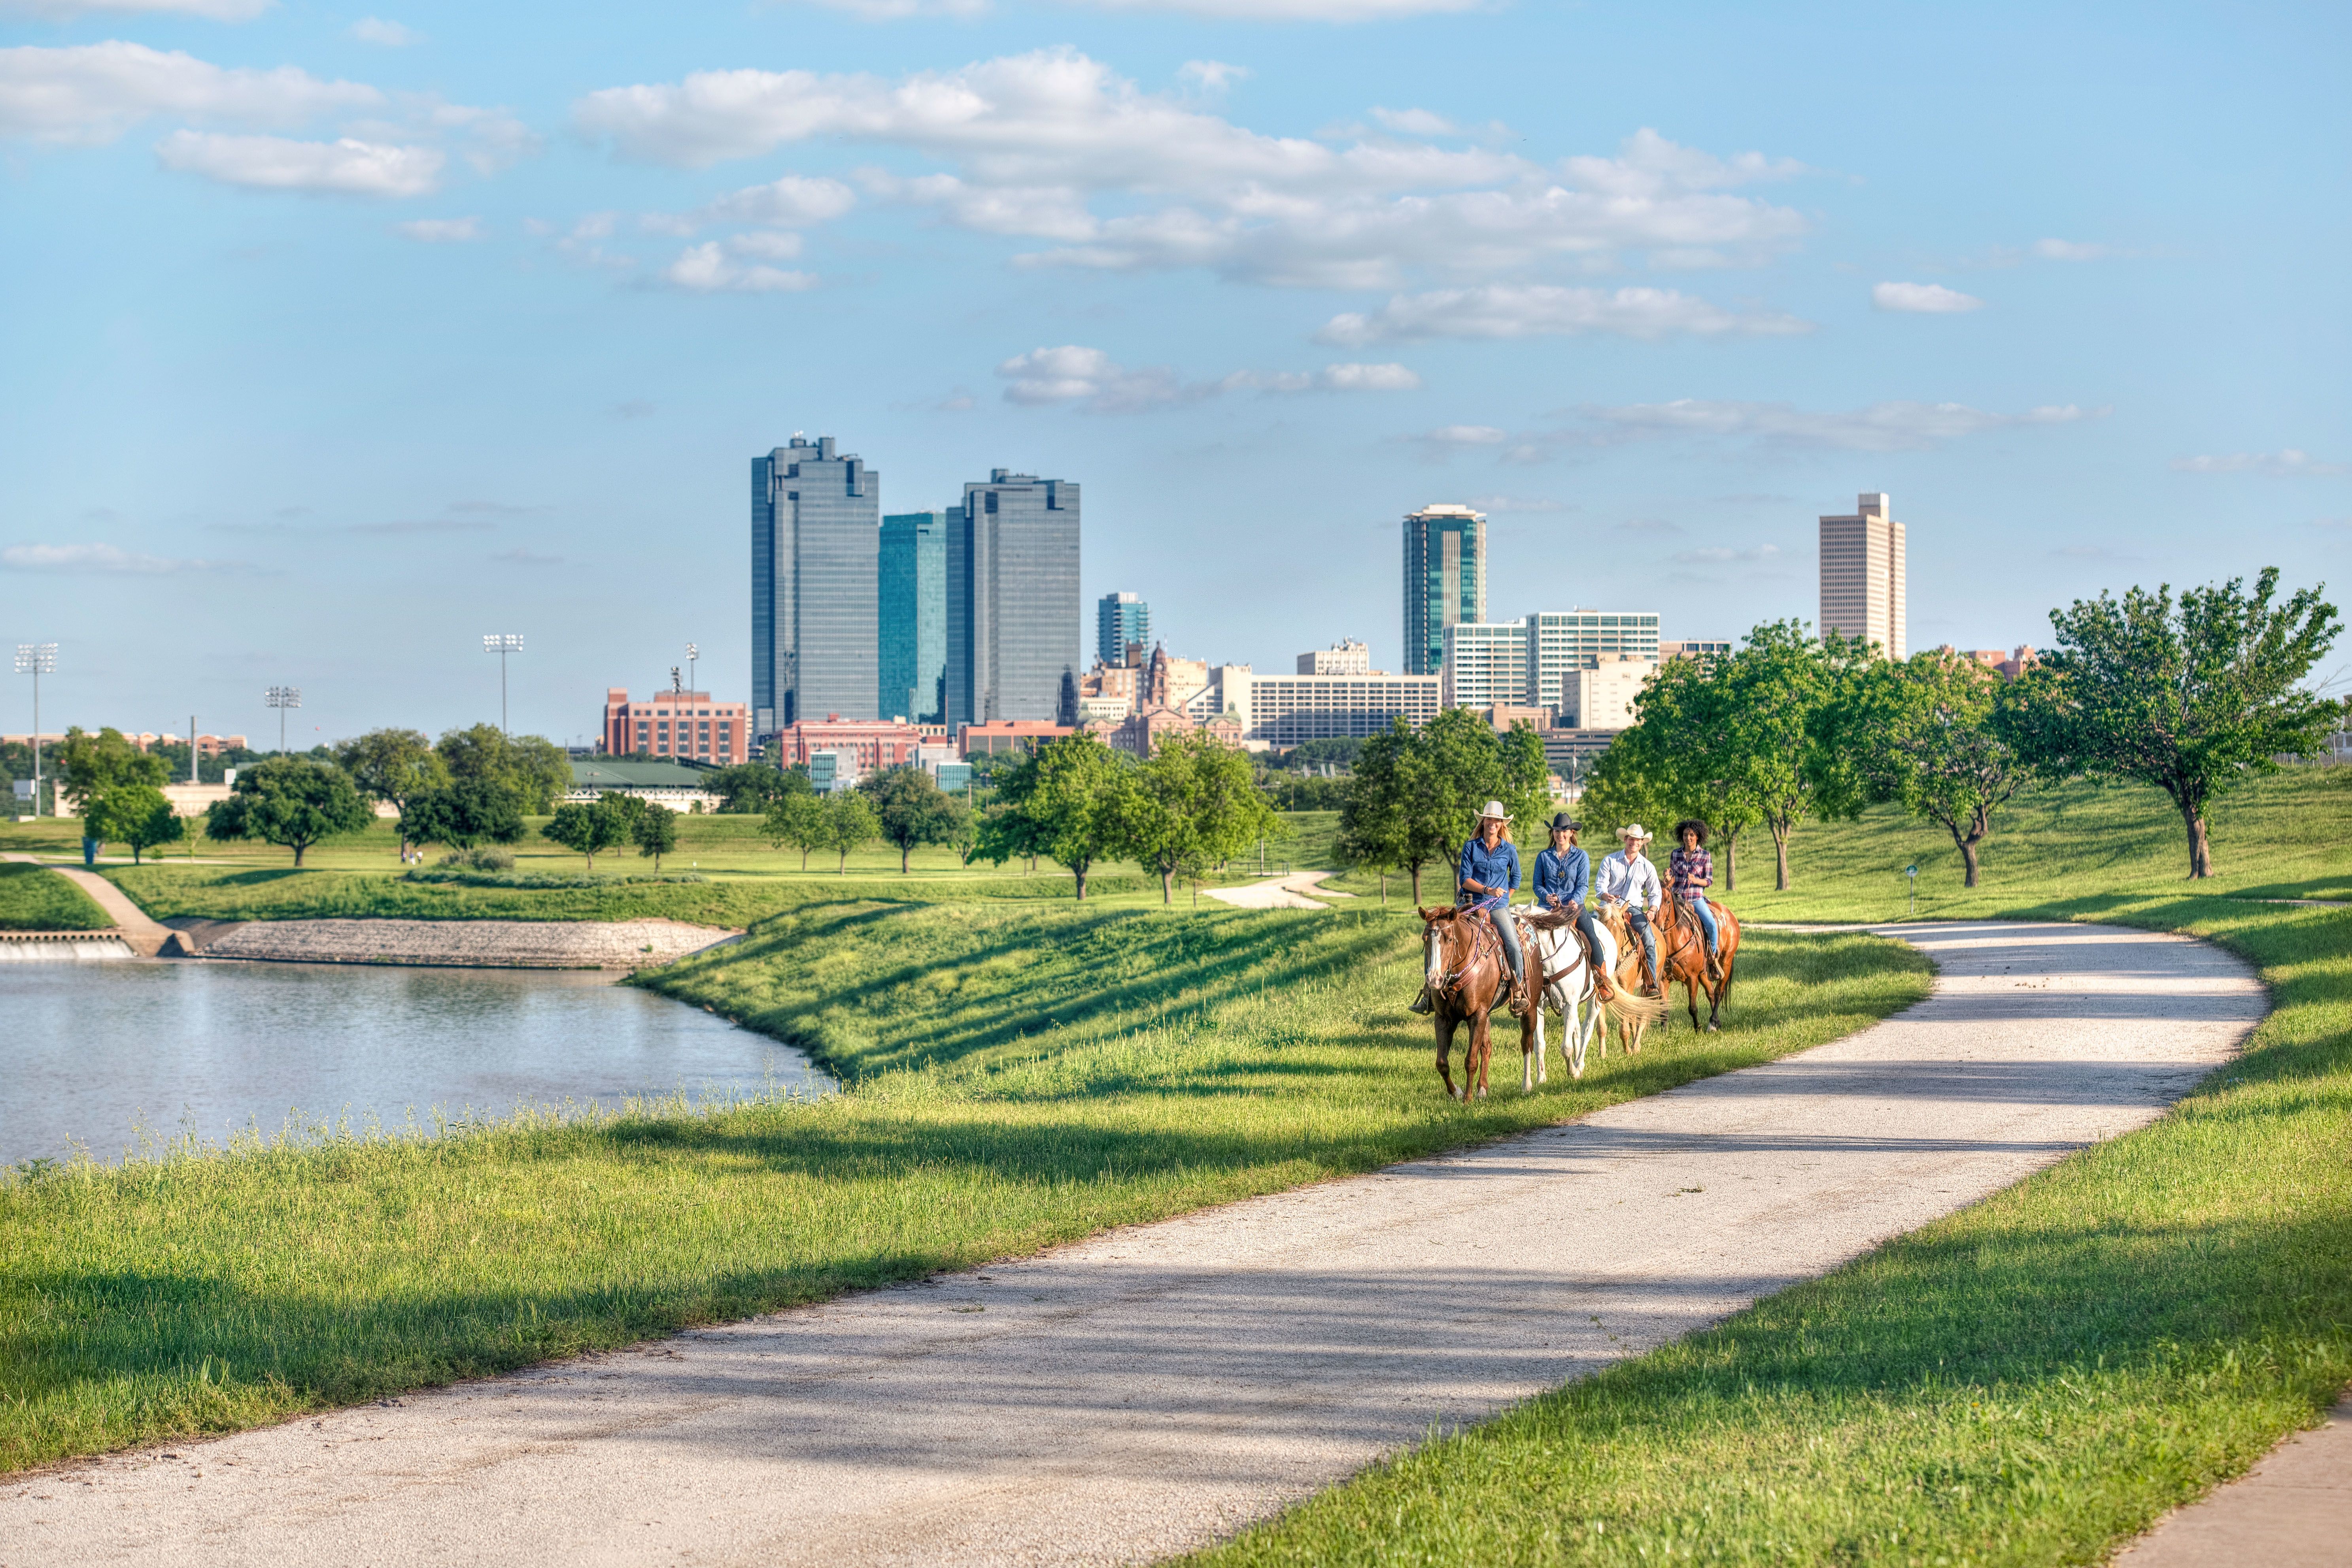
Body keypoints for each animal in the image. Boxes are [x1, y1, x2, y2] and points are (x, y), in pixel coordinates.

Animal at [1402, 907, 1515, 1105]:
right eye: (1425, 938)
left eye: (1449, 939)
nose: (1434, 979)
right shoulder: (1444, 1019)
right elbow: (1442, 1063)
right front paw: (1457, 1093)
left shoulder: (1477, 1016)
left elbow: (1471, 1060)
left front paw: (1468, 1099)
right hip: (1487, 1015)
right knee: (1487, 1046)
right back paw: (1482, 1089)